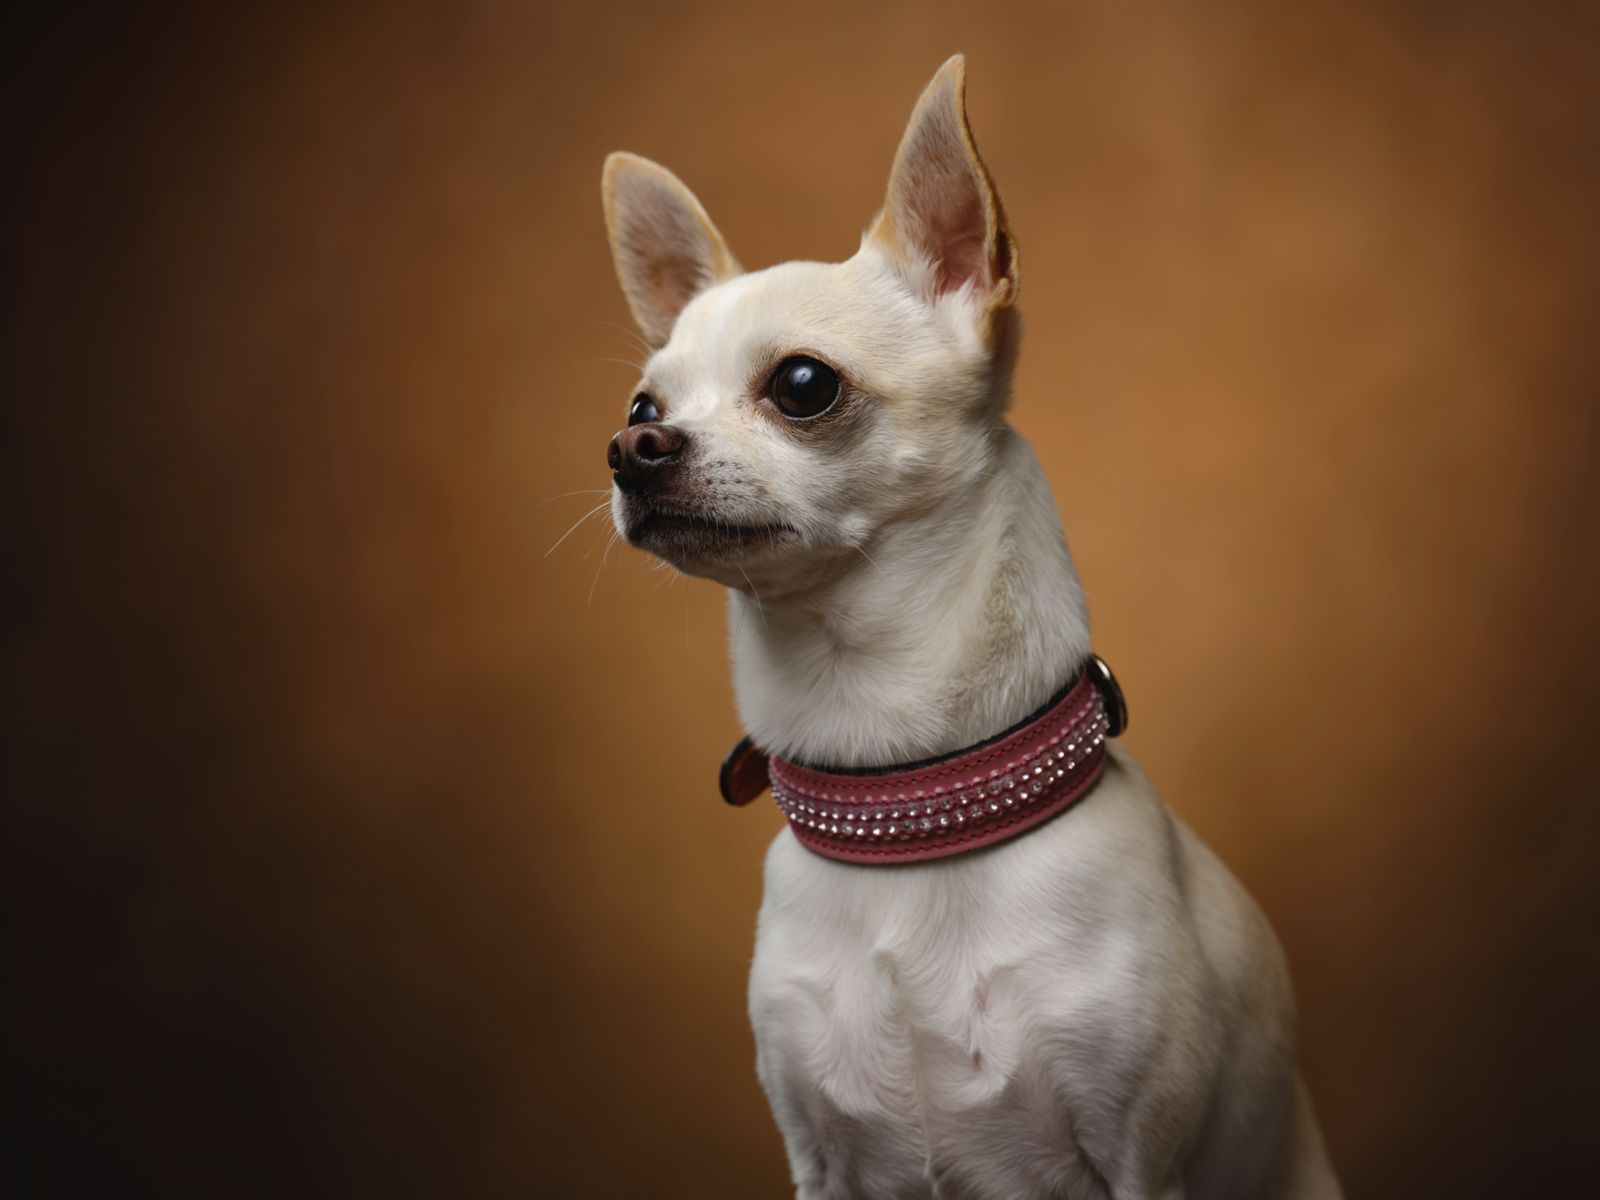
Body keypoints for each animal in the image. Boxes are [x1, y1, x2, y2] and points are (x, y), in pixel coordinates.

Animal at [601, 51, 1337, 1196]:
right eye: (644, 406)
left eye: (801, 384)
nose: (631, 451)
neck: (912, 797)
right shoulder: (818, 1161)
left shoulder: (1141, 1164)